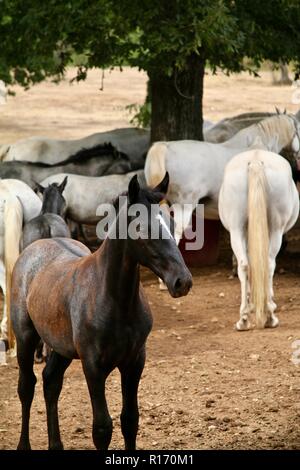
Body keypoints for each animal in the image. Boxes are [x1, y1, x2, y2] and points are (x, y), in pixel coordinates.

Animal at [11, 172, 192, 448]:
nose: (182, 282)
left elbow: (130, 420)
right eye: (142, 228)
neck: (114, 300)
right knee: (26, 386)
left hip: (61, 347)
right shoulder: (93, 367)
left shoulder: (134, 362)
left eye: (171, 224)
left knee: (51, 382)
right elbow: (102, 428)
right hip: (25, 337)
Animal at [219, 151, 298, 330]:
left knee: (244, 265)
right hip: (276, 230)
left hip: (236, 229)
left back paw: (243, 319)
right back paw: (270, 317)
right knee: (268, 265)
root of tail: (255, 159)